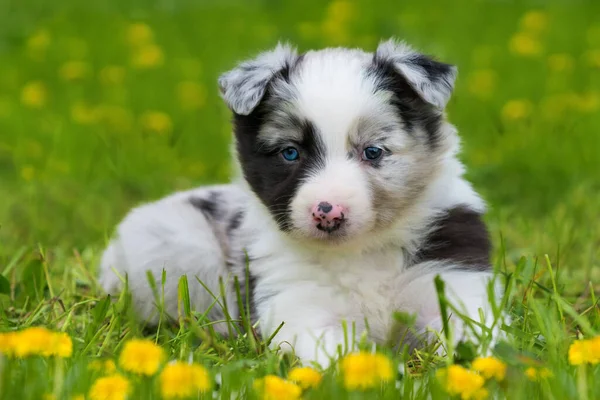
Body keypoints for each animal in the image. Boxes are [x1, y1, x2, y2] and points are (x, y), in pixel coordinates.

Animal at [99, 39, 502, 366]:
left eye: (373, 151)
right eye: (290, 152)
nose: (328, 213)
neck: (361, 252)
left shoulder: (451, 281)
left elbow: (473, 337)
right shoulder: (297, 305)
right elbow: (334, 353)